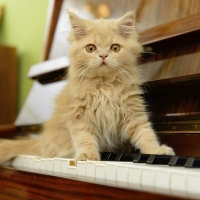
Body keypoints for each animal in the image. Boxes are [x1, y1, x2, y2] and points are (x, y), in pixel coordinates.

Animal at [0, 11, 174, 164]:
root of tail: (40, 140)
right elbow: (84, 138)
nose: (103, 55)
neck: (104, 85)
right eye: (91, 48)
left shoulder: (133, 113)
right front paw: (88, 155)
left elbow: (146, 134)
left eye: (115, 48)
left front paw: (157, 151)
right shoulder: (78, 116)